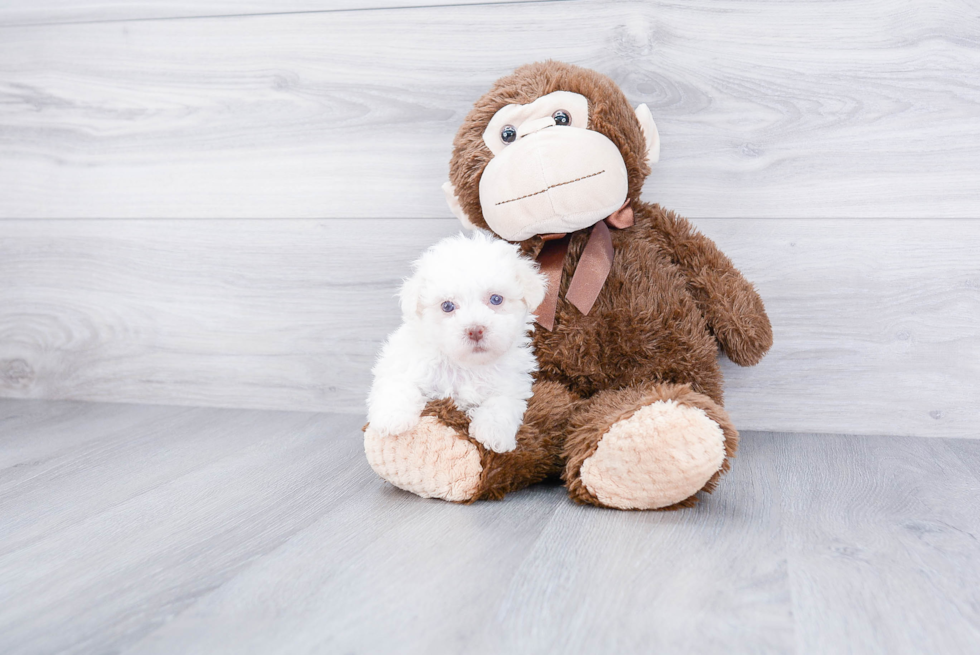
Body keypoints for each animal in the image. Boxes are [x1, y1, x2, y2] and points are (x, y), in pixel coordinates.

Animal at [370, 233, 548, 454]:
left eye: (496, 299)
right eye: (447, 306)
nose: (475, 330)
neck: (467, 366)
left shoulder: (512, 382)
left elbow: (502, 402)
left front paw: (493, 432)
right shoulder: (403, 362)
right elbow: (399, 385)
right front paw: (392, 418)